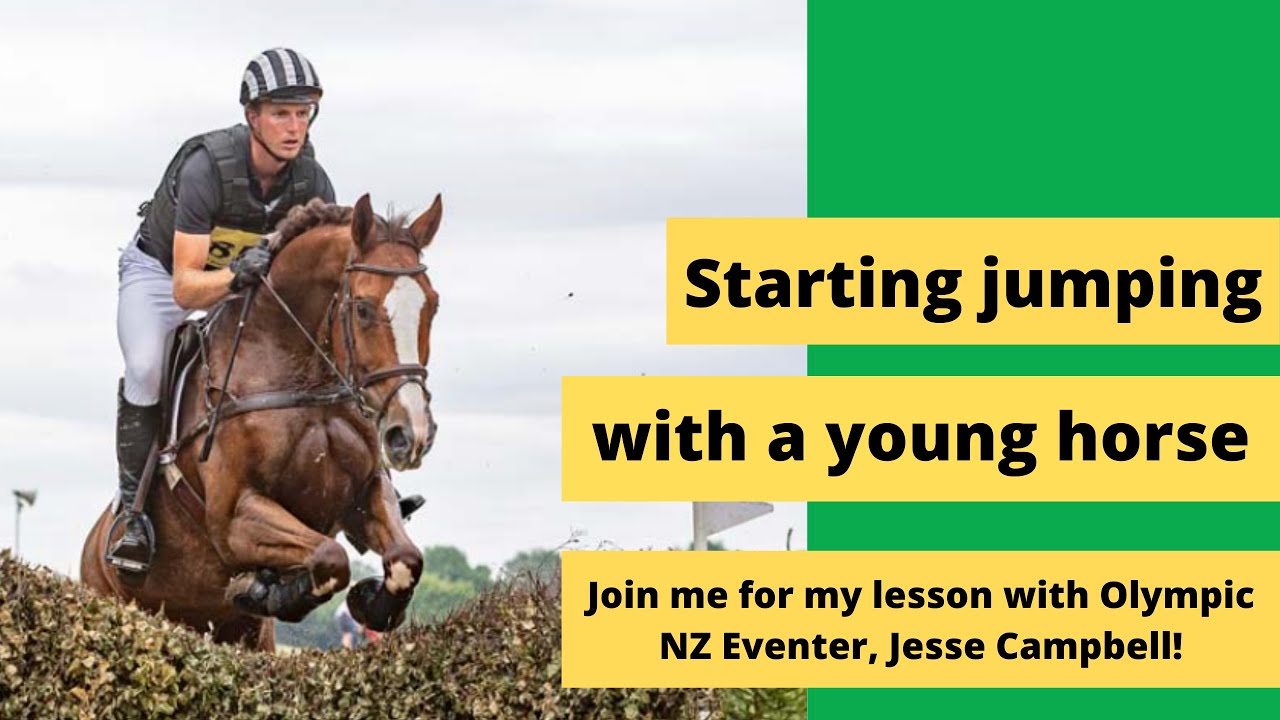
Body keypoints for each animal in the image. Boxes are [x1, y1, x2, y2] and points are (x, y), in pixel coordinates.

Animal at [81, 194, 442, 649]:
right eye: (362, 308)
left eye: (433, 304)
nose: (410, 435)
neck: (299, 371)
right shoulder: (235, 516)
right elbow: (330, 558)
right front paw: (267, 589)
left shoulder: (365, 493)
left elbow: (405, 559)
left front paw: (370, 601)